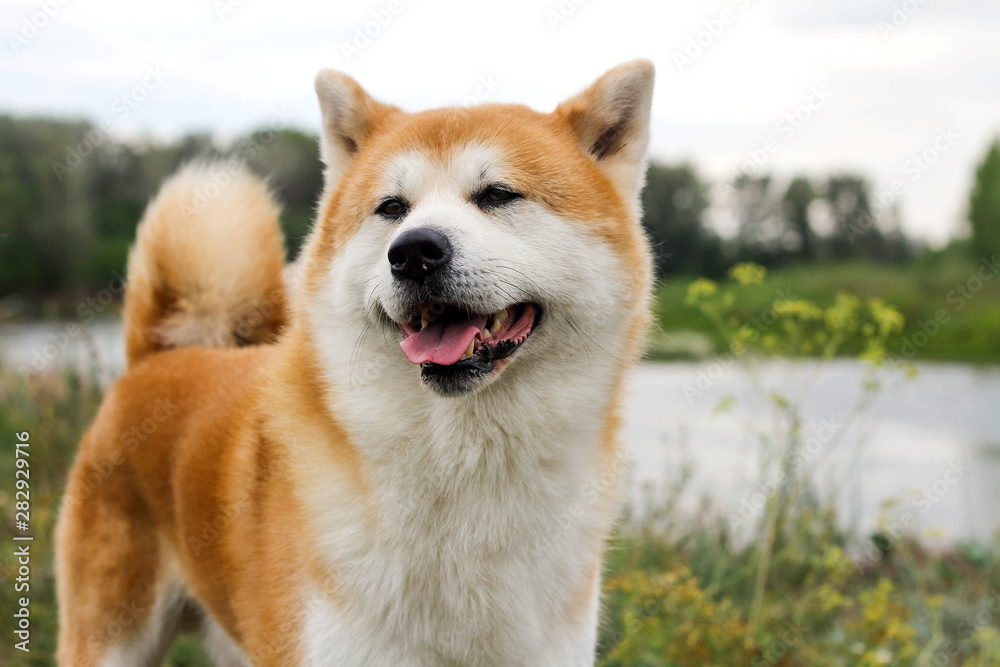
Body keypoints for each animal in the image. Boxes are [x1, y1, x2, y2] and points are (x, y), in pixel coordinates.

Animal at [58, 60, 660, 664]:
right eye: (392, 208)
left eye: (497, 194)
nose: (414, 251)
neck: (461, 468)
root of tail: (159, 358)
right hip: (114, 639)